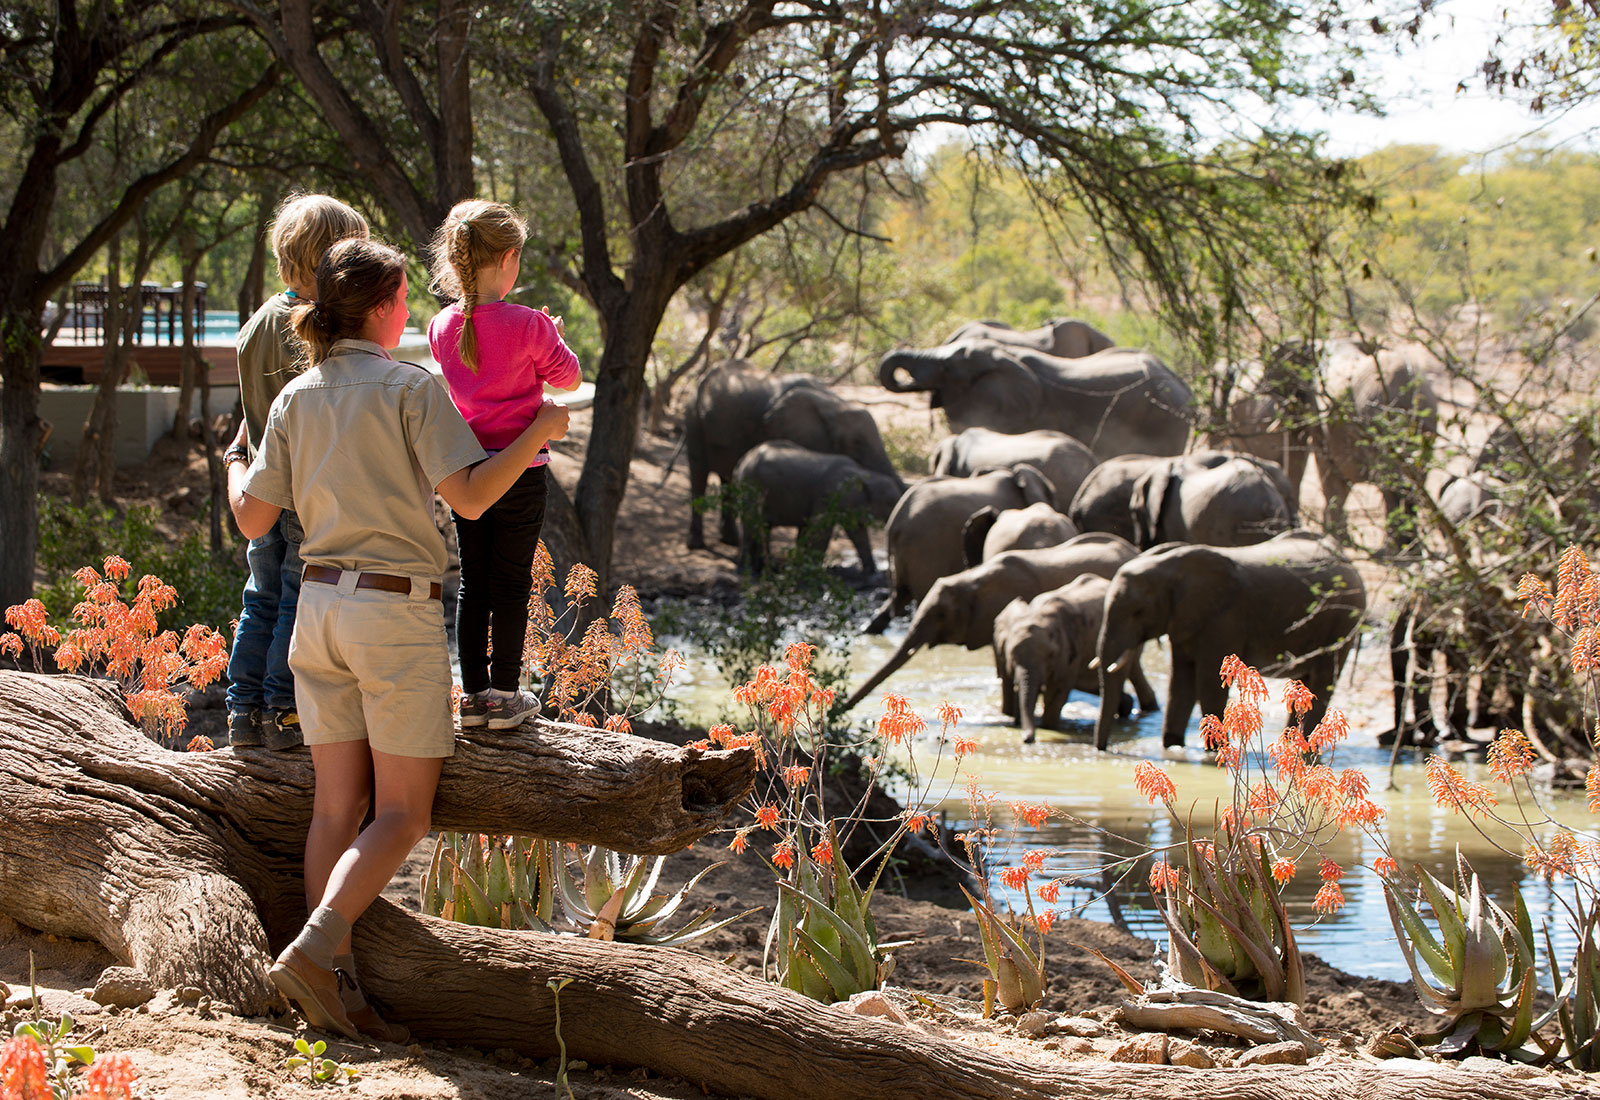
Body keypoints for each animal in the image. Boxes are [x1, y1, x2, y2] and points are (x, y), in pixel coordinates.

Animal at [685, 361, 904, 550]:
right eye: (857, 443)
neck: (834, 404)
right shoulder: (782, 429)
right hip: (694, 416)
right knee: (699, 475)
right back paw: (697, 544)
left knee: (727, 479)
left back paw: (731, 541)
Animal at [729, 441, 903, 577]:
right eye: (890, 503)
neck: (865, 474)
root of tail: (742, 461)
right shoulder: (830, 495)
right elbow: (821, 528)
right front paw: (812, 571)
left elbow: (857, 532)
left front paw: (870, 573)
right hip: (749, 485)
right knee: (751, 524)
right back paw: (746, 571)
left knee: (763, 526)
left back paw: (764, 569)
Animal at [994, 574, 1158, 744]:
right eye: (1012, 657)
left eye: (1050, 655)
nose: (1027, 739)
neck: (1038, 614)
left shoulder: (1069, 650)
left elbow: (1055, 693)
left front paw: (1048, 727)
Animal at [1093, 530, 1366, 749]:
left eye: (1137, 612)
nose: (1102, 751)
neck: (1166, 566)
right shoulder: (1184, 621)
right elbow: (1179, 684)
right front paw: (1172, 747)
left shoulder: (1222, 619)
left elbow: (1209, 684)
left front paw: (1214, 750)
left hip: (1342, 622)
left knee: (1322, 681)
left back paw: (1306, 750)